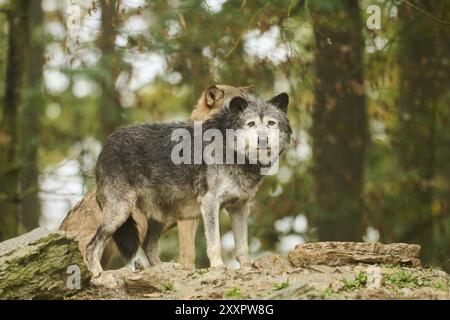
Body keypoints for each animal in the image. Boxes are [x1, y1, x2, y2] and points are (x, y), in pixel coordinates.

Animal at [87, 93, 292, 278]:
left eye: (271, 123)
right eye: (251, 124)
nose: (263, 140)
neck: (231, 151)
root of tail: (107, 144)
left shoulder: (239, 207)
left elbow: (242, 246)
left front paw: (247, 268)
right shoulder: (210, 203)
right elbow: (214, 243)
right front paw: (218, 267)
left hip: (160, 217)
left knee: (148, 245)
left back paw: (166, 269)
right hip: (120, 213)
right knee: (91, 245)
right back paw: (98, 274)